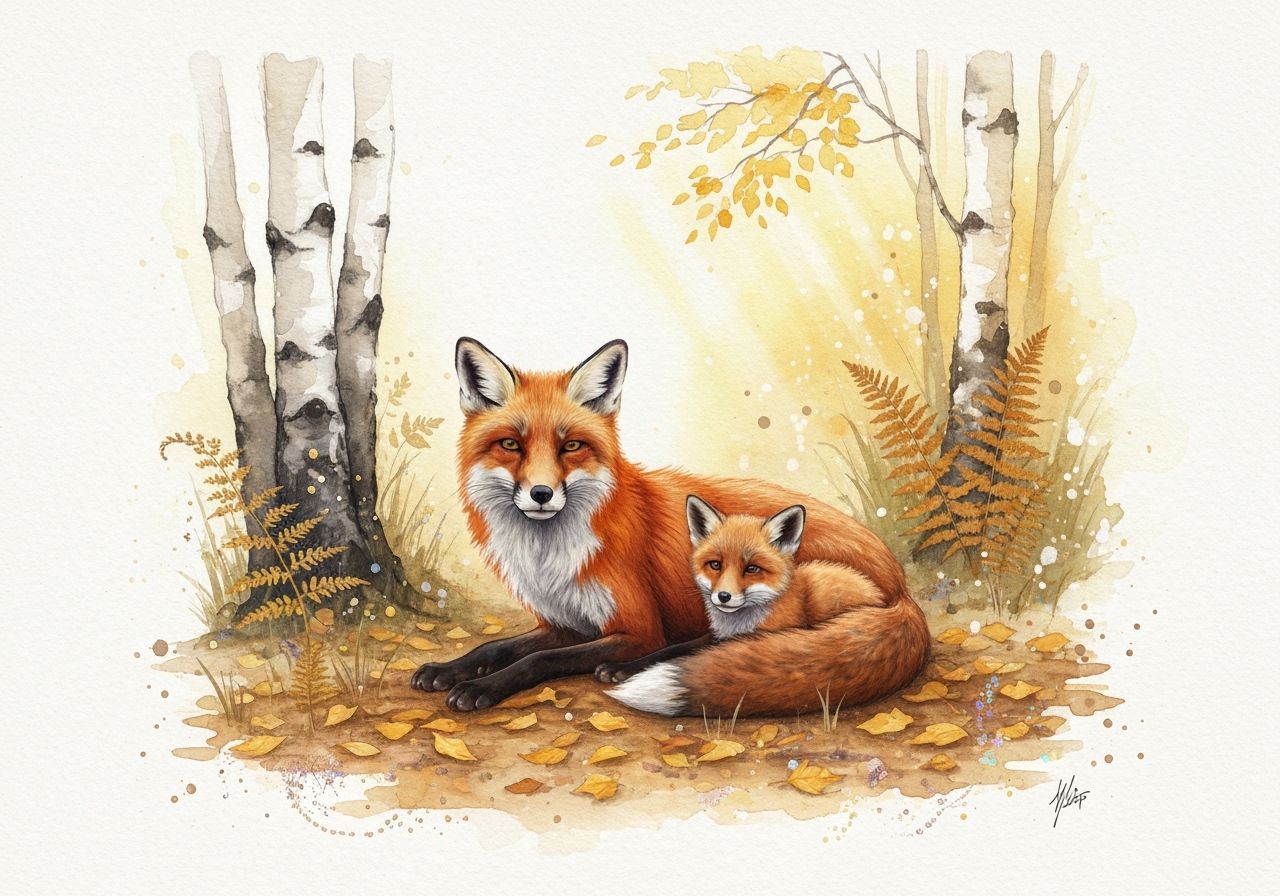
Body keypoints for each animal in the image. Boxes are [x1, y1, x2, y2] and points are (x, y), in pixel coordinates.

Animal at [604, 496, 929, 715]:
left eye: (752, 569)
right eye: (715, 565)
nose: (723, 597)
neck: (742, 622)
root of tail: (901, 600)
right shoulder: (718, 637)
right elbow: (672, 649)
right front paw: (620, 668)